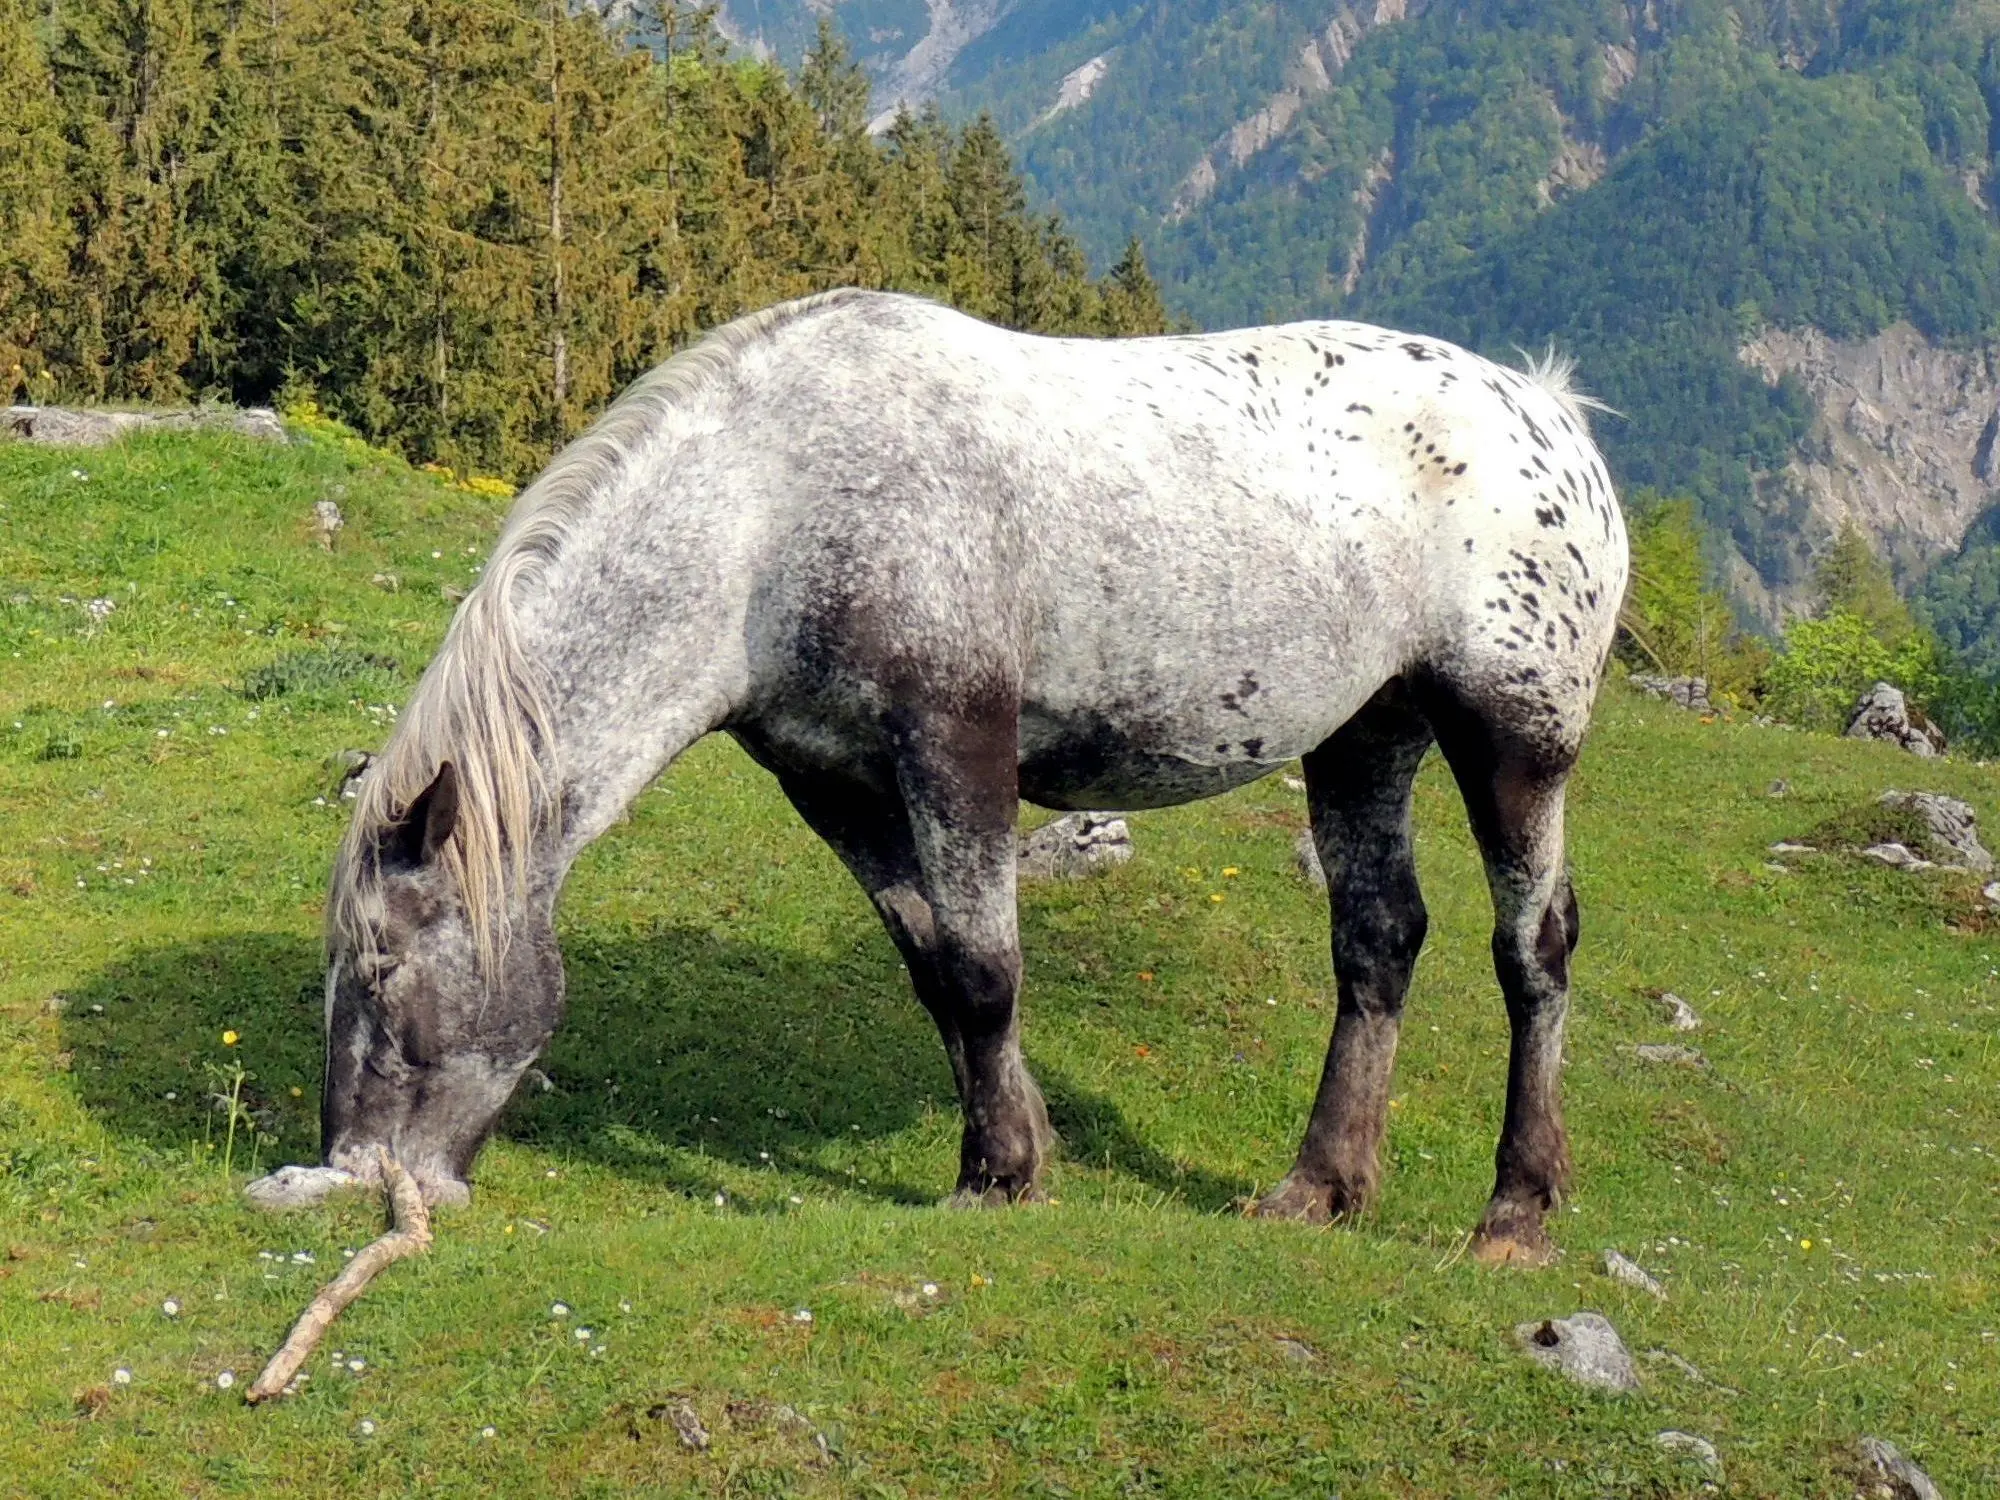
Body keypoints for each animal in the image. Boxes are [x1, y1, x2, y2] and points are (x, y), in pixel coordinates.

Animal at [266, 284, 1632, 1272]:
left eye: (381, 974)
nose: (354, 1172)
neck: (777, 513)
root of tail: (1545, 410)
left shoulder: (956, 749)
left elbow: (983, 970)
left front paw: (997, 1180)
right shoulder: (837, 786)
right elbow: (932, 965)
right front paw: (1013, 1149)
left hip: (1513, 741)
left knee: (1534, 949)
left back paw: (1513, 1213)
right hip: (1365, 736)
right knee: (1376, 938)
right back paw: (1318, 1187)